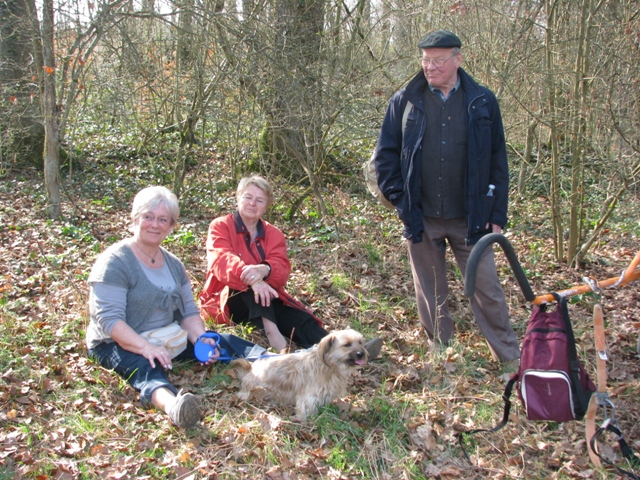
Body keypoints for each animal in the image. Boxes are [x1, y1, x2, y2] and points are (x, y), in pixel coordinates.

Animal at [232, 330, 368, 420]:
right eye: (347, 344)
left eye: (360, 342)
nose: (361, 354)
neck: (328, 366)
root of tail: (249, 372)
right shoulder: (309, 397)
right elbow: (305, 409)